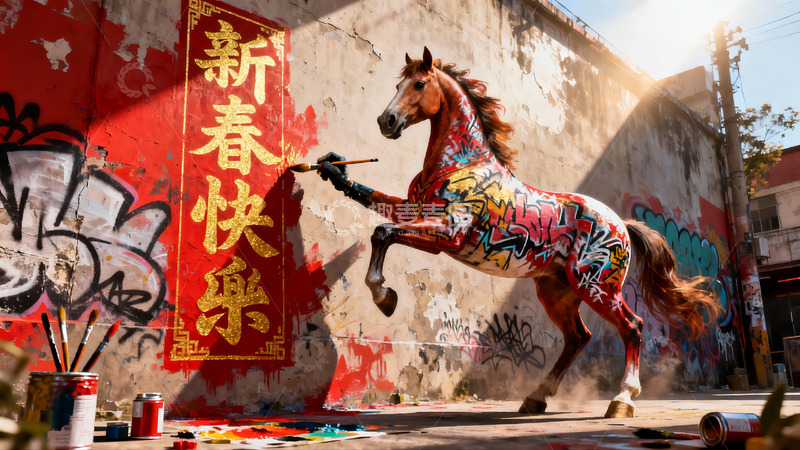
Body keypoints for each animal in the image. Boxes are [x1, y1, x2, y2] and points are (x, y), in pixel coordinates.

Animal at [316, 47, 720, 418]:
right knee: (578, 337)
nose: (387, 120)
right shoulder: (416, 212)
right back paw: (537, 397)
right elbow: (378, 212)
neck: (461, 162)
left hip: (596, 286)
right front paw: (335, 171)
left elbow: (383, 232)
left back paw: (622, 400)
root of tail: (620, 222)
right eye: (397, 85)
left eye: (418, 84)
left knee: (632, 328)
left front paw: (384, 296)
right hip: (556, 292)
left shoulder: (447, 234)